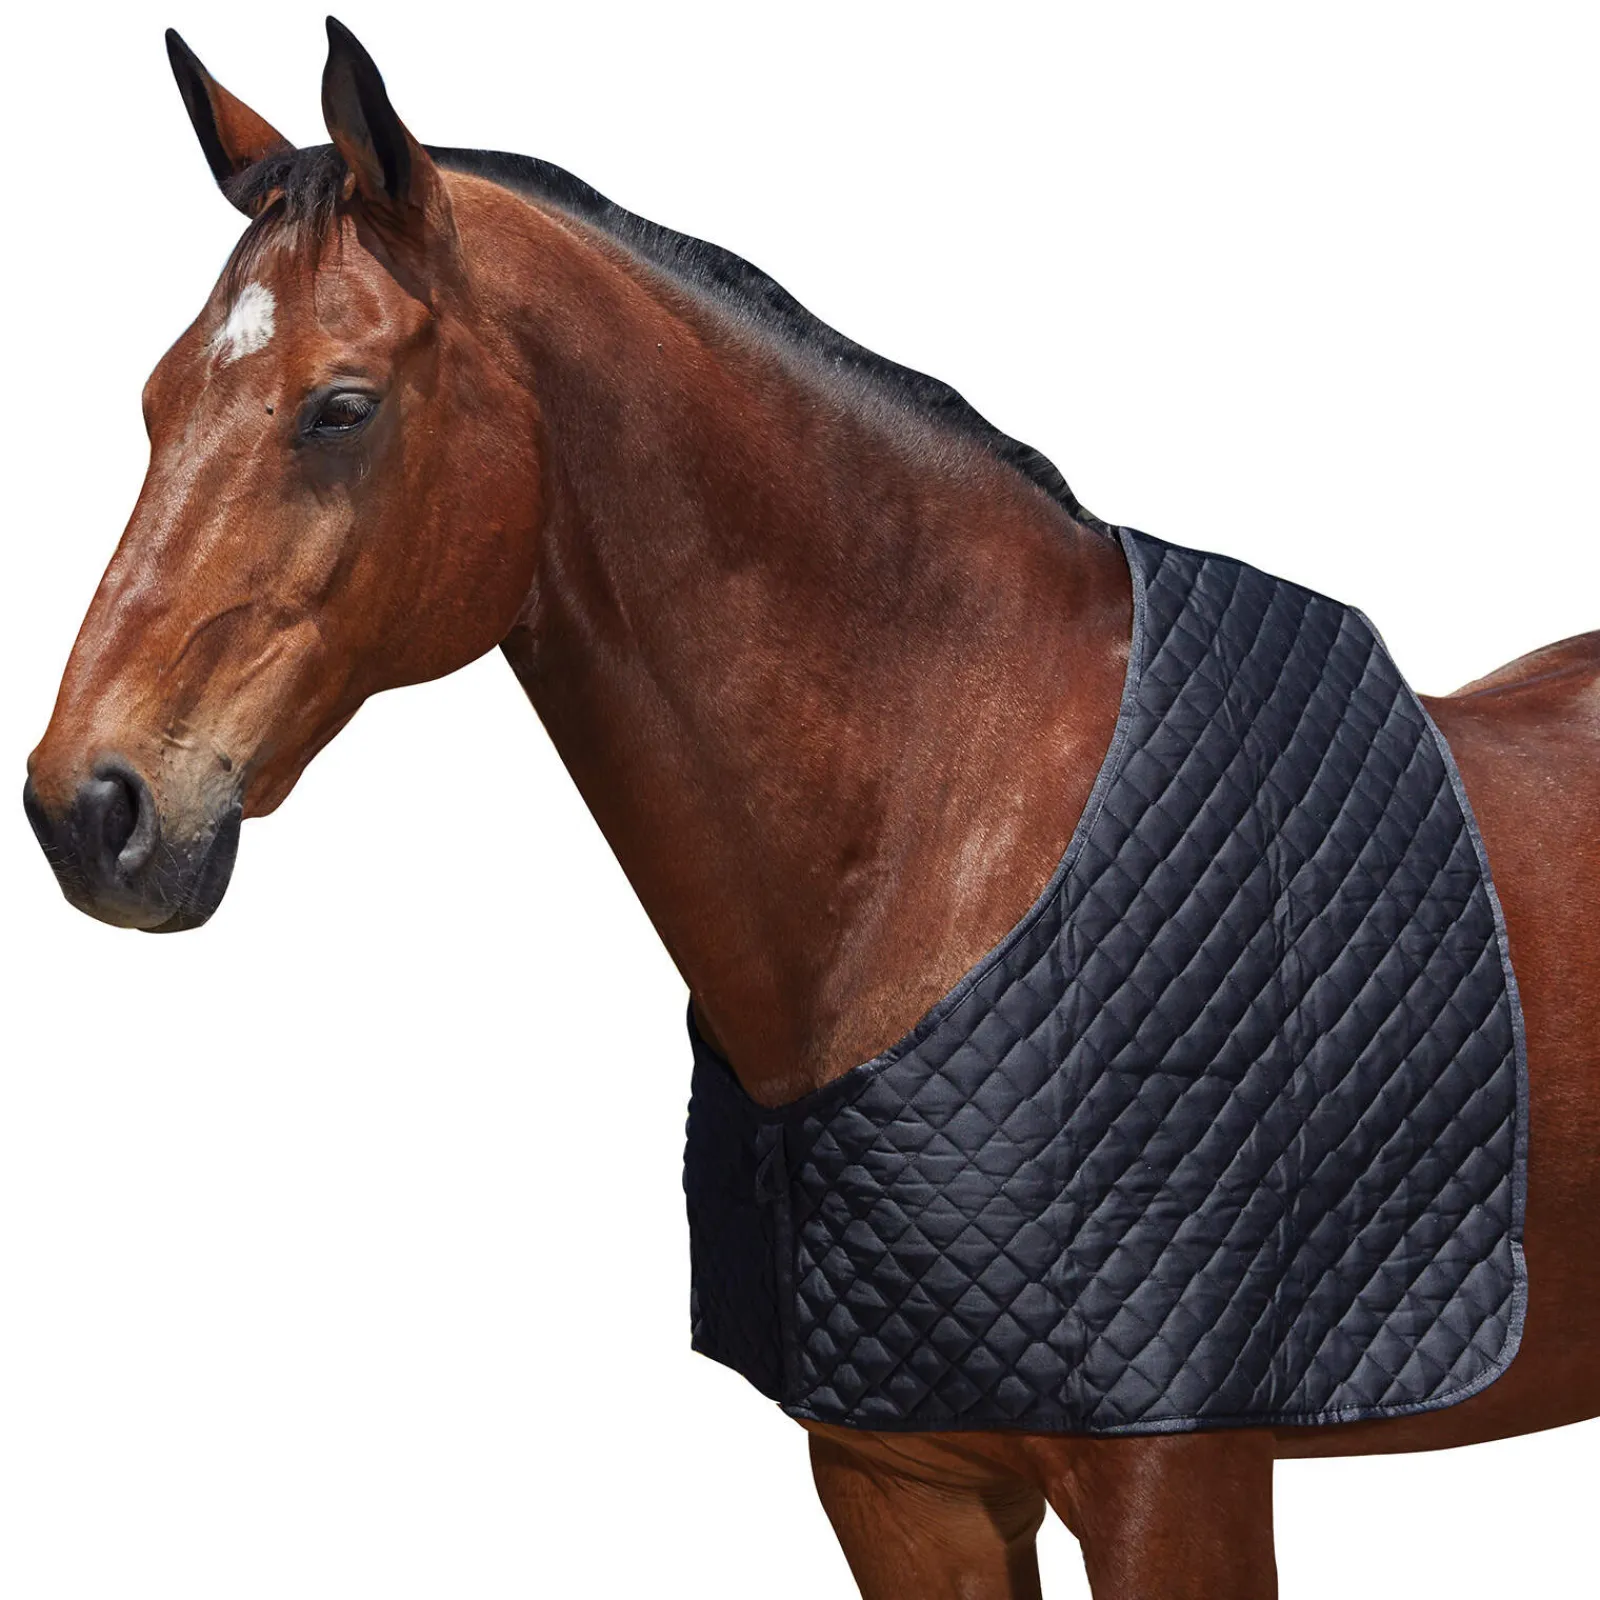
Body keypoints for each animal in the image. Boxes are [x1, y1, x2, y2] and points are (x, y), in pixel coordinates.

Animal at [22, 21, 1599, 1599]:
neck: (956, 835)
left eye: (339, 408)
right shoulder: (899, 1482)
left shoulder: (1180, 1484)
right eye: (156, 401)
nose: (87, 807)